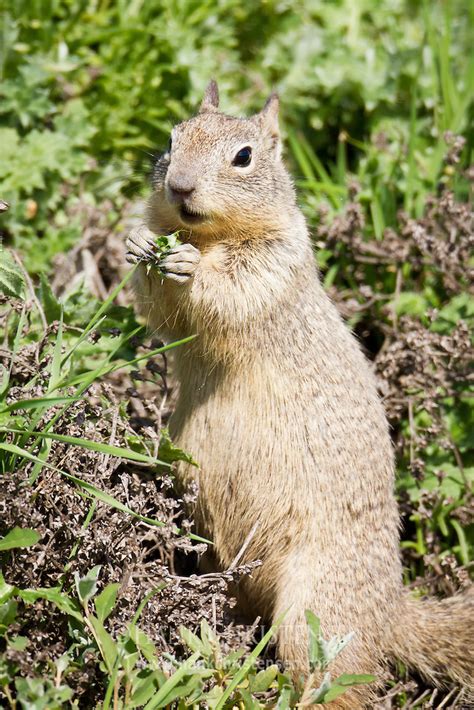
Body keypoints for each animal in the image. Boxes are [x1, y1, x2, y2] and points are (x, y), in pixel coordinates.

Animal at [127, 82, 474, 708]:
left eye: (244, 157)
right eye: (172, 137)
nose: (180, 185)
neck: (209, 234)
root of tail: (388, 613)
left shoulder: (273, 266)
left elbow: (229, 285)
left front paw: (188, 264)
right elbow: (159, 308)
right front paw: (143, 241)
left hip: (316, 609)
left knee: (337, 679)